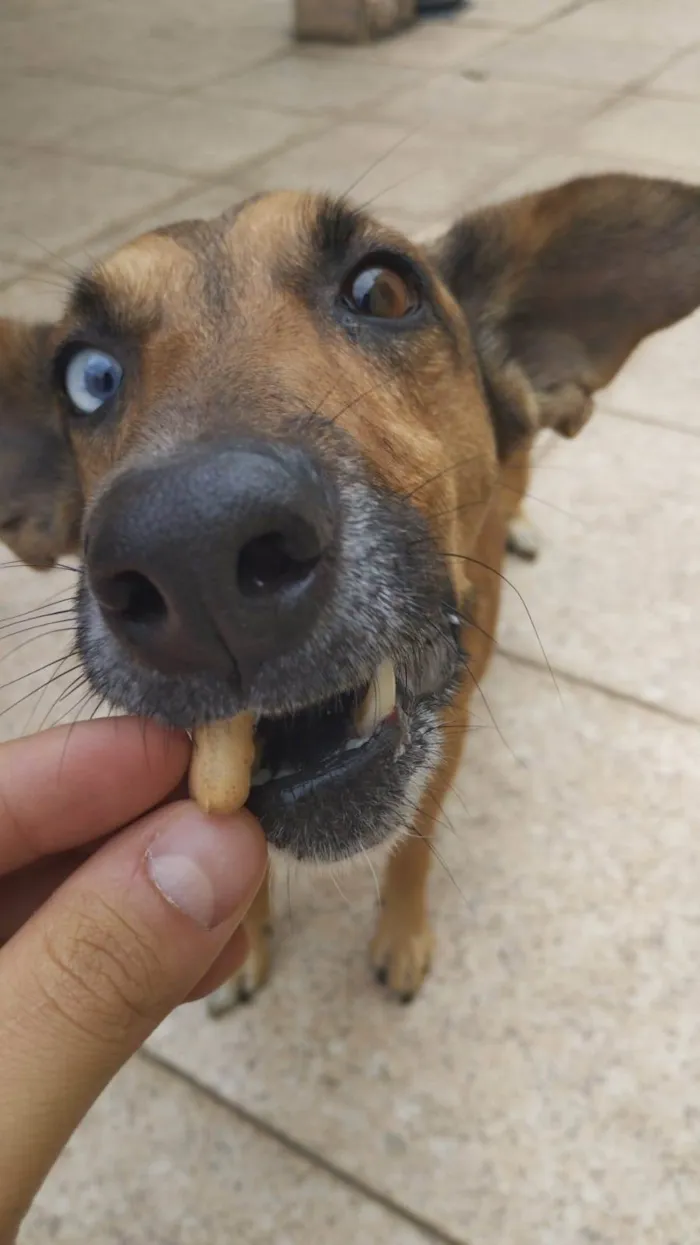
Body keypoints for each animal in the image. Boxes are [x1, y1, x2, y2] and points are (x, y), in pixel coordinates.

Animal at [1, 178, 697, 1010]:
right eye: (90, 377)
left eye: (382, 290)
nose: (192, 546)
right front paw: (249, 947)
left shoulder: (448, 720)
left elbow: (412, 846)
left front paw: (401, 935)